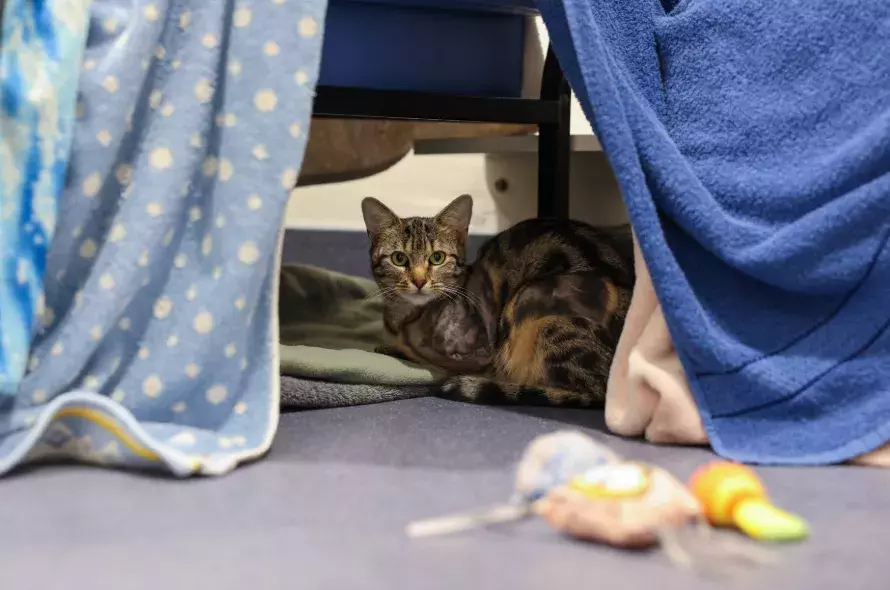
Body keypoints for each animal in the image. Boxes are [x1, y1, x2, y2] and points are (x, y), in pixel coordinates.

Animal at [360, 194, 632, 408]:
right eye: (399, 258)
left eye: (437, 257)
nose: (419, 281)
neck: (406, 318)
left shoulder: (480, 353)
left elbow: (432, 359)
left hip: (529, 303)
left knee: (586, 392)